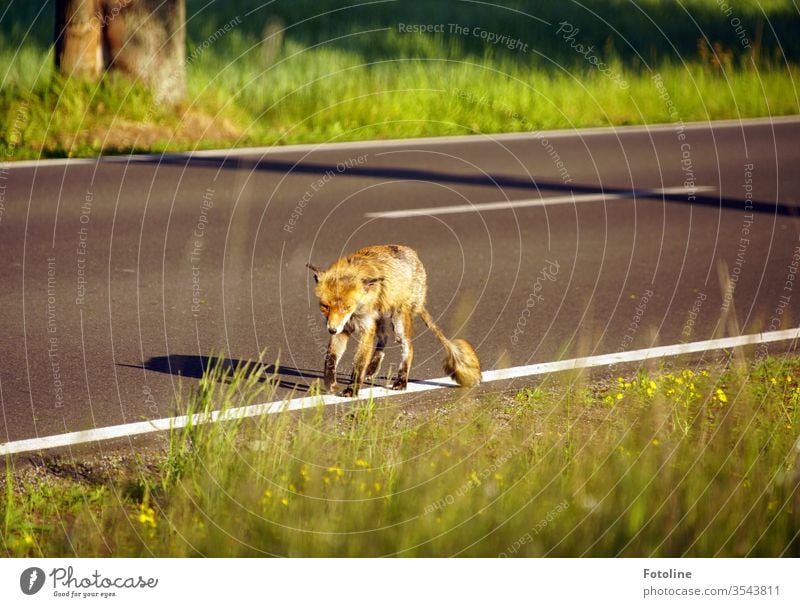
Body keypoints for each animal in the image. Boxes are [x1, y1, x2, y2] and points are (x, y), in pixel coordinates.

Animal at [306, 245, 482, 396]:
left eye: (346, 307)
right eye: (325, 306)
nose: (331, 330)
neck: (355, 314)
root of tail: (415, 257)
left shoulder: (365, 328)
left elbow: (359, 363)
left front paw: (352, 389)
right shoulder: (344, 328)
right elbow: (330, 358)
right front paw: (330, 384)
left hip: (398, 323)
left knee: (408, 347)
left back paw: (401, 380)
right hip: (380, 318)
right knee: (384, 338)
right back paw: (373, 368)